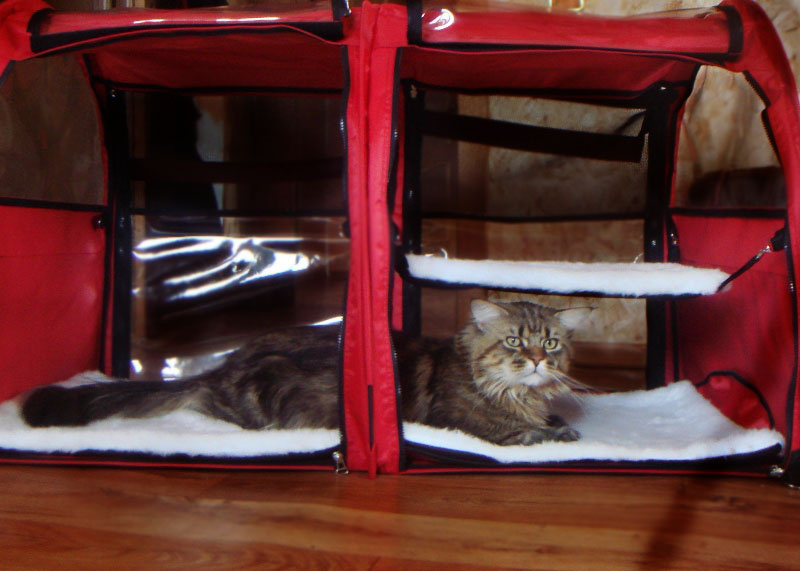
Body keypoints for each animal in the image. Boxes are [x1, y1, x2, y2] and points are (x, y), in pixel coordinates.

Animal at [21, 299, 588, 445]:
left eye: (551, 343)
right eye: (514, 341)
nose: (537, 361)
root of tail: (221, 368)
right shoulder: (471, 424)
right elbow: (530, 434)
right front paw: (560, 433)